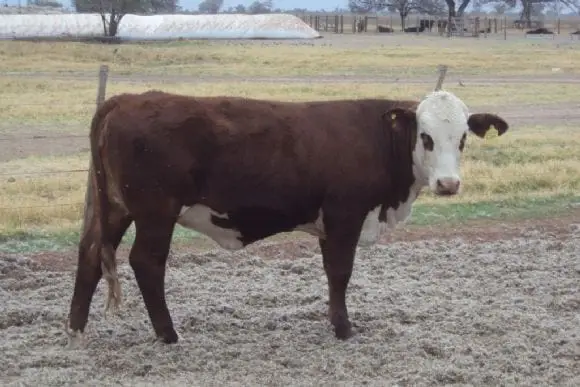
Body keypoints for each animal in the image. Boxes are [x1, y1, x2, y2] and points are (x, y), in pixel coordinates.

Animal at [64, 88, 508, 348]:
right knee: (147, 263)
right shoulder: (345, 216)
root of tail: (127, 98)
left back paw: (76, 329)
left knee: (90, 255)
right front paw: (344, 329)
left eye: (463, 139)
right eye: (426, 137)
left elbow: (332, 274)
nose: (449, 183)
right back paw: (169, 334)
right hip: (156, 212)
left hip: (116, 208)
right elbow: (340, 273)